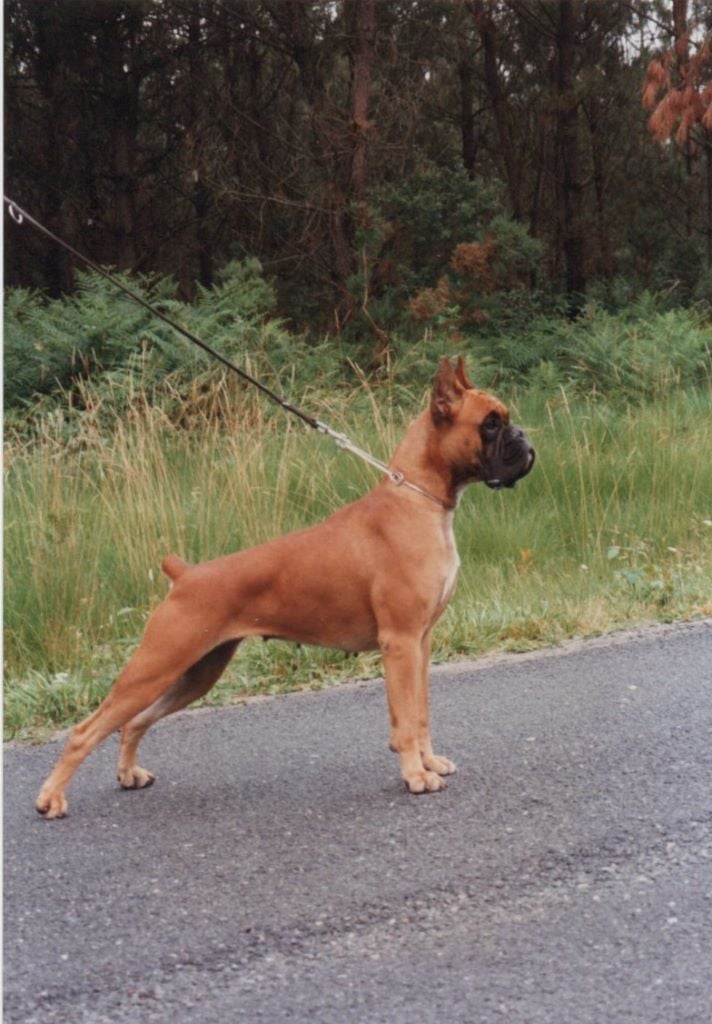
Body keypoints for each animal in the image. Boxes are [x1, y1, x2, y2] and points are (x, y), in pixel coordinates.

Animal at [34, 356, 532, 819]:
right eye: (491, 423)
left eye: (504, 419)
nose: (524, 438)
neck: (418, 499)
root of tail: (186, 574)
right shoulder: (400, 644)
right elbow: (405, 719)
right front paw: (415, 775)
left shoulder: (421, 643)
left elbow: (422, 711)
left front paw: (429, 762)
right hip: (155, 666)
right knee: (86, 730)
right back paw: (51, 798)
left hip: (195, 674)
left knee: (132, 723)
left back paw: (128, 774)